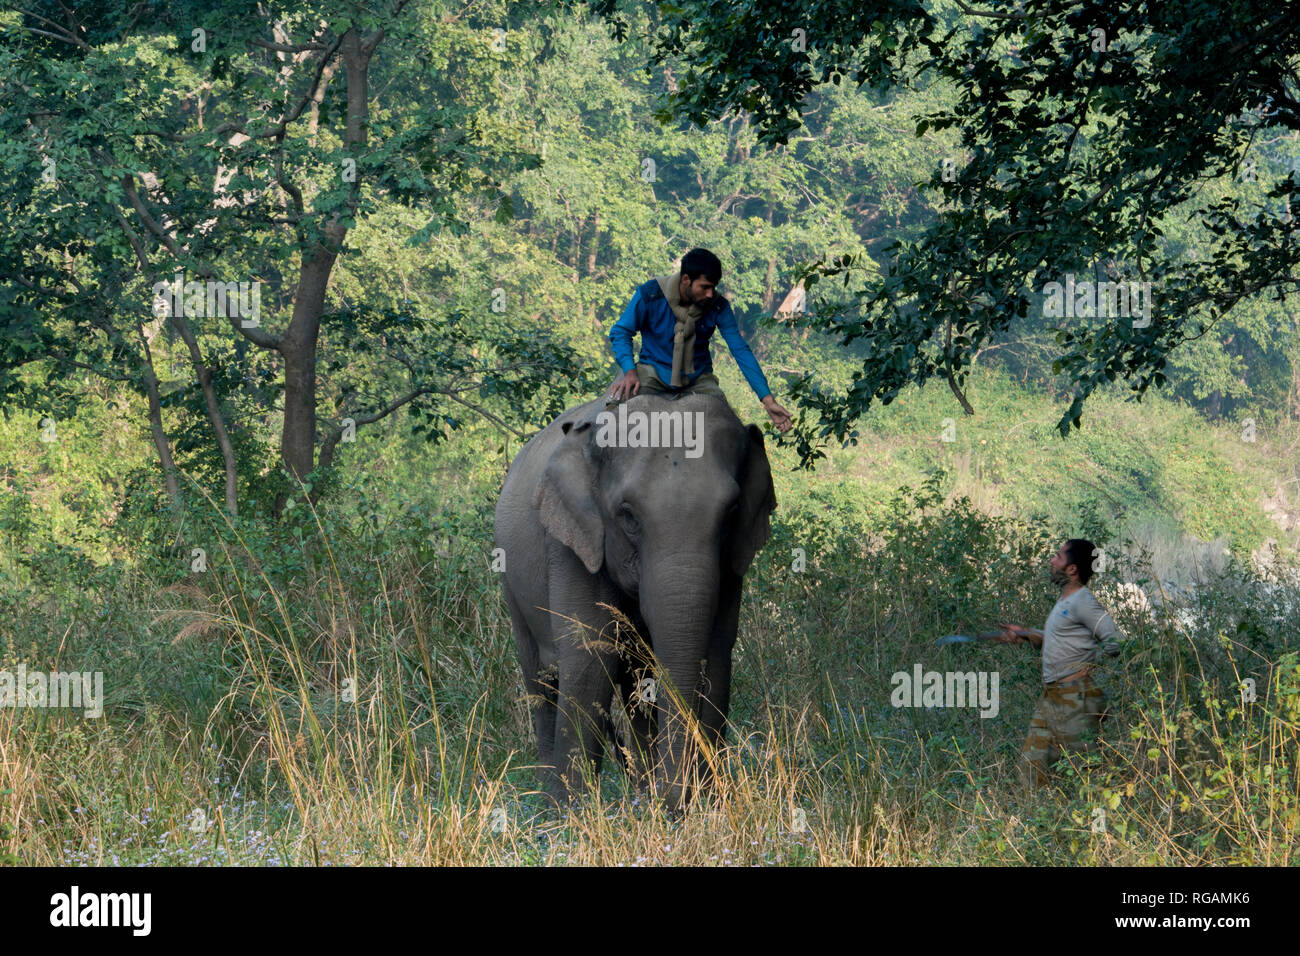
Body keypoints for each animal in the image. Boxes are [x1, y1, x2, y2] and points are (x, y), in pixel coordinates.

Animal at [493, 390, 776, 809]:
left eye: (732, 512)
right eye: (627, 515)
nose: (675, 804)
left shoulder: (731, 568)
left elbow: (715, 653)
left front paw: (709, 804)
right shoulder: (572, 545)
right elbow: (589, 655)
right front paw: (571, 813)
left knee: (635, 683)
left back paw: (641, 786)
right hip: (511, 582)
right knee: (541, 679)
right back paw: (546, 800)